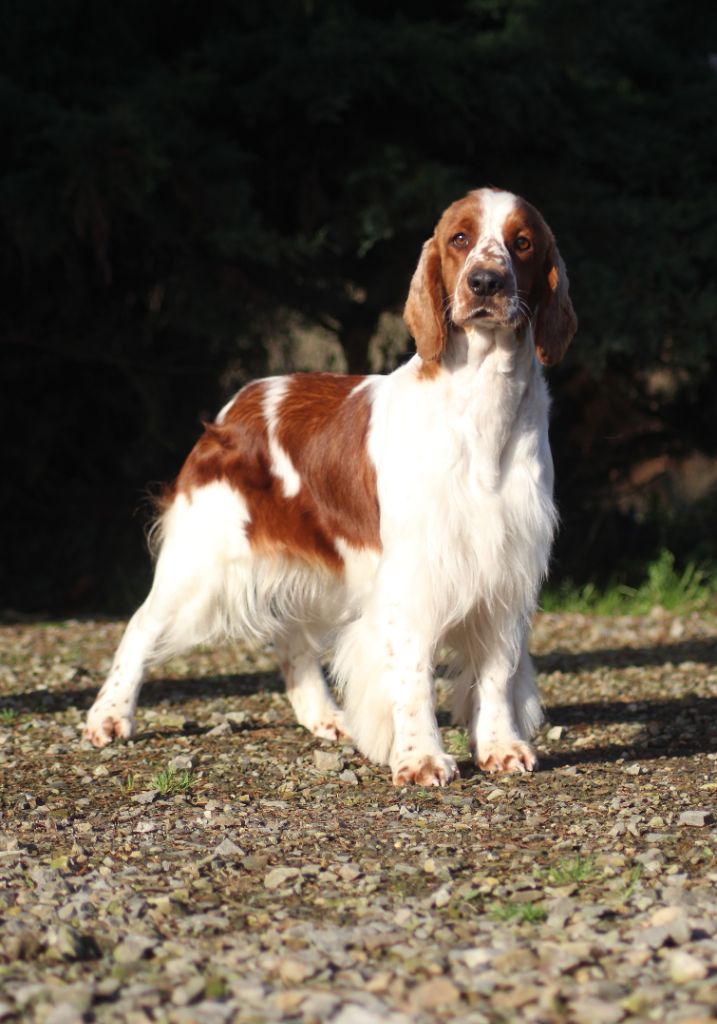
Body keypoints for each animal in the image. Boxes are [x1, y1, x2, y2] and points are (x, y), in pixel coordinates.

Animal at [83, 188, 577, 786]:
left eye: (521, 243)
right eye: (460, 238)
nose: (486, 281)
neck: (480, 403)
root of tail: (238, 404)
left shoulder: (507, 568)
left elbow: (498, 672)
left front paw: (502, 747)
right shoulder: (413, 576)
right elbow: (413, 674)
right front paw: (420, 758)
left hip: (313, 568)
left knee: (293, 645)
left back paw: (325, 717)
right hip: (200, 562)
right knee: (140, 627)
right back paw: (108, 719)